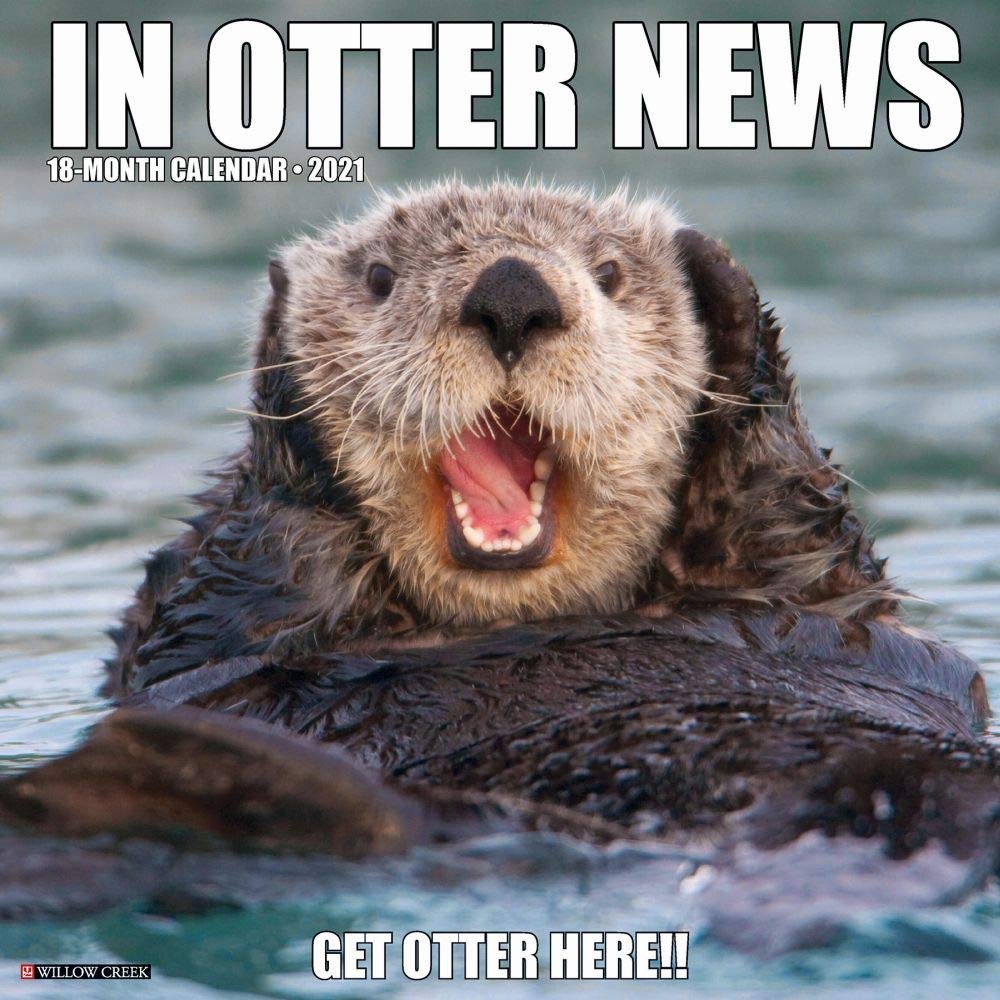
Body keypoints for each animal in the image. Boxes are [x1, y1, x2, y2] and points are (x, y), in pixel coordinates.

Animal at [0, 182, 995, 934]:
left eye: (610, 275)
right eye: (379, 278)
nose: (513, 291)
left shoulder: (806, 589)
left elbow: (799, 525)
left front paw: (725, 292)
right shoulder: (203, 630)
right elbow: (218, 602)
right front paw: (283, 371)